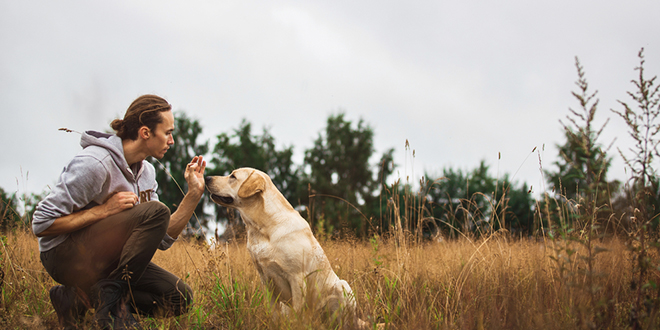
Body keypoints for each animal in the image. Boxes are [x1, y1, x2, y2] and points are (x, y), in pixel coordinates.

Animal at [206, 169, 372, 328]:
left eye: (233, 176)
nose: (207, 178)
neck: (262, 227)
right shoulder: (266, 280)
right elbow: (273, 313)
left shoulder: (297, 277)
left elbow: (297, 313)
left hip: (342, 286)